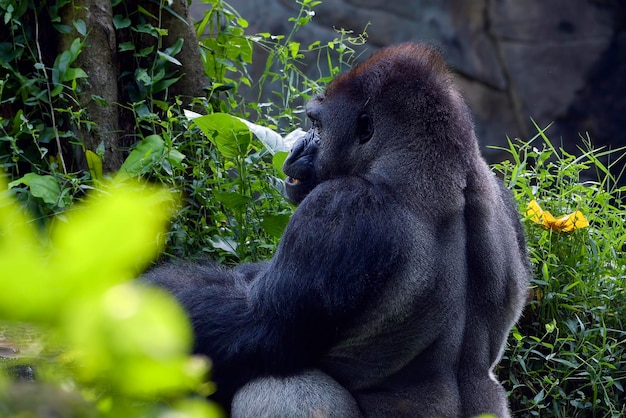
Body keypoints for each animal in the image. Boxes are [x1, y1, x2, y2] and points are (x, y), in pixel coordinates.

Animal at [141, 43, 528, 418]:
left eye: (317, 126)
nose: (297, 147)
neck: (443, 167)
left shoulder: (340, 204)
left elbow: (257, 325)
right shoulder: (507, 199)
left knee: (280, 384)